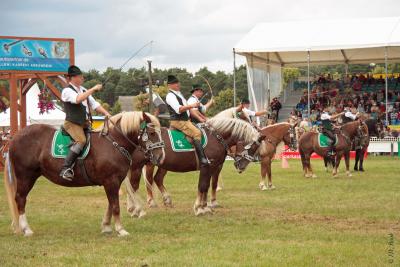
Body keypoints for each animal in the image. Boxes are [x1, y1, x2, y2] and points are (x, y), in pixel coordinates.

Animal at [3, 112, 164, 238]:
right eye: (152, 133)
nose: (161, 157)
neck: (114, 143)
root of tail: (15, 138)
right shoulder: (111, 181)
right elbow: (115, 206)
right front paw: (120, 229)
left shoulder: (114, 182)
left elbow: (110, 204)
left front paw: (106, 226)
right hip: (25, 176)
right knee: (20, 199)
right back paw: (26, 229)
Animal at [125, 118, 262, 217]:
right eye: (252, 147)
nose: (242, 166)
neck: (216, 137)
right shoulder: (207, 167)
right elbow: (202, 186)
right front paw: (199, 208)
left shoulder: (211, 168)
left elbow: (206, 186)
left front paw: (205, 207)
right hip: (138, 166)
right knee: (134, 185)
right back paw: (137, 209)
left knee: (150, 180)